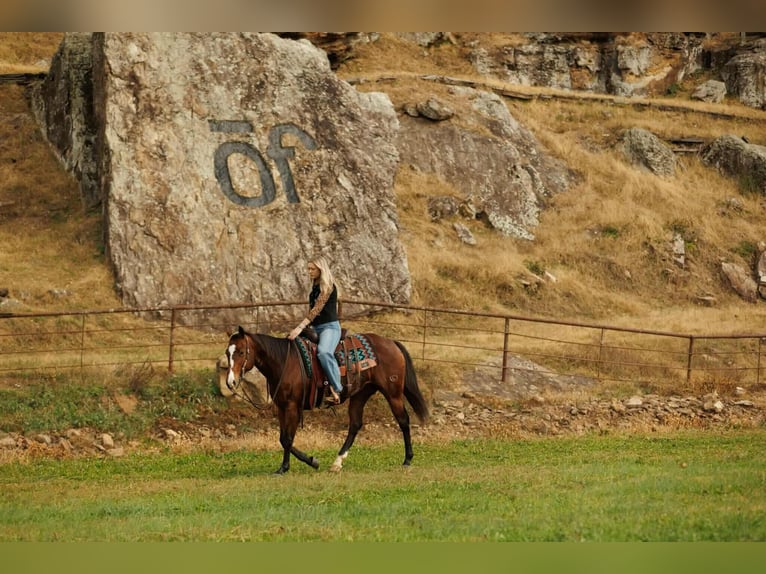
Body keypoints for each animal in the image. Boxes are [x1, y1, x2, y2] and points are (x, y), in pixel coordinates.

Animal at [224, 326, 429, 474]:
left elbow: (288, 439)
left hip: (392, 393)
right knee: (355, 425)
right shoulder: (282, 406)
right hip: (360, 394)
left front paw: (287, 467)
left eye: (241, 352)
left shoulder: (292, 406)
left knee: (403, 420)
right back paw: (337, 462)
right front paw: (311, 461)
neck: (284, 361)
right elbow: (283, 439)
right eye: (228, 353)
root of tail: (391, 343)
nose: (230, 382)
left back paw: (407, 459)